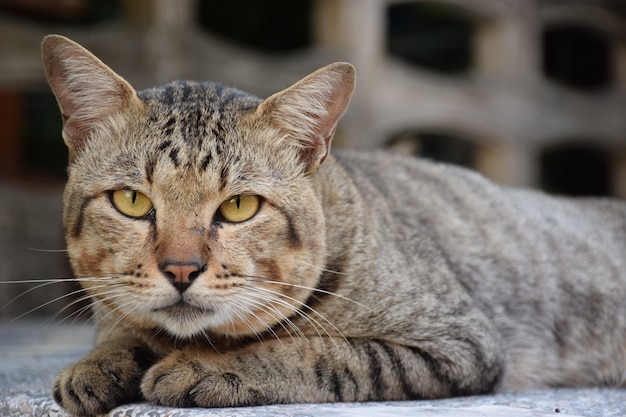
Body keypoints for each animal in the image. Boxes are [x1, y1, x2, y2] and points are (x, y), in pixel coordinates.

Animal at [44, 33, 624, 416]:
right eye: (131, 200)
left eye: (239, 207)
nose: (181, 269)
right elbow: (123, 325)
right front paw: (98, 362)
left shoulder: (457, 342)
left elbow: (314, 350)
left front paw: (203, 366)